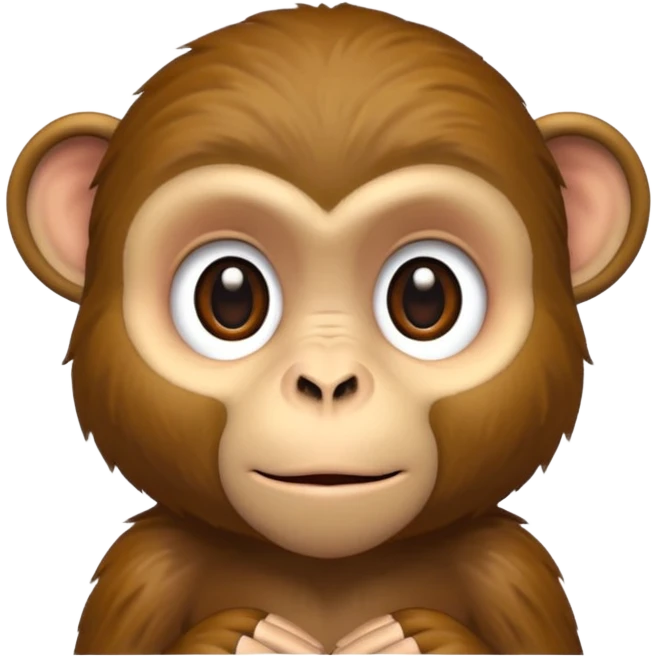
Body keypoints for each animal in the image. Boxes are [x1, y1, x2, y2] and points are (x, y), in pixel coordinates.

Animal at [5, 3, 650, 655]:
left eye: (425, 295)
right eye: (230, 296)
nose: (327, 382)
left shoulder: (510, 571)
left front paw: (411, 640)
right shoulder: (145, 570)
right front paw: (246, 640)